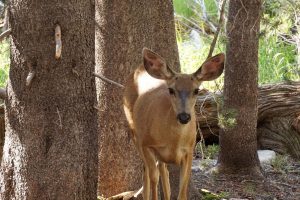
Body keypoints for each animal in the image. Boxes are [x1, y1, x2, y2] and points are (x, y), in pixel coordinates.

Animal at [123, 48, 224, 200]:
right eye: (171, 90)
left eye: (196, 90)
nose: (184, 116)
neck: (173, 140)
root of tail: (139, 68)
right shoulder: (146, 144)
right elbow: (153, 179)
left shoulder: (189, 150)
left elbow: (182, 188)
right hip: (134, 131)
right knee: (147, 171)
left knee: (163, 169)